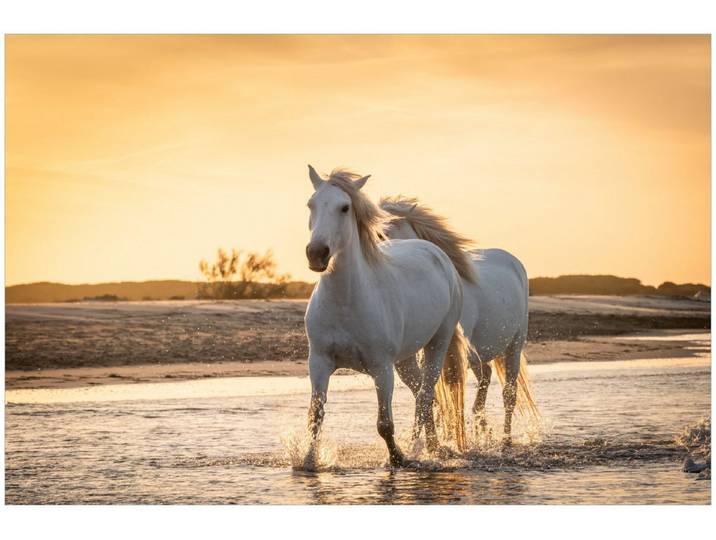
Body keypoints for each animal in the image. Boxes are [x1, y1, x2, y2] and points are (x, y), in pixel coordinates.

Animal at [302, 166, 471, 468]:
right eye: (311, 204)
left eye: (345, 207)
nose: (317, 254)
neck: (346, 302)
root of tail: (436, 253)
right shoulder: (319, 363)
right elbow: (315, 417)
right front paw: (308, 462)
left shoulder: (381, 368)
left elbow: (384, 423)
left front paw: (398, 458)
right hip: (405, 360)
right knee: (423, 396)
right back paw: (431, 446)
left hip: (438, 343)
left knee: (426, 396)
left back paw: (423, 449)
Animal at [380, 196, 539, 445]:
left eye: (387, 231)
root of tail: (513, 261)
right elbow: (427, 395)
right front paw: (427, 441)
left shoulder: (451, 351)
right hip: (481, 353)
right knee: (486, 377)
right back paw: (484, 430)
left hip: (514, 344)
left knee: (509, 393)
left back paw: (505, 439)